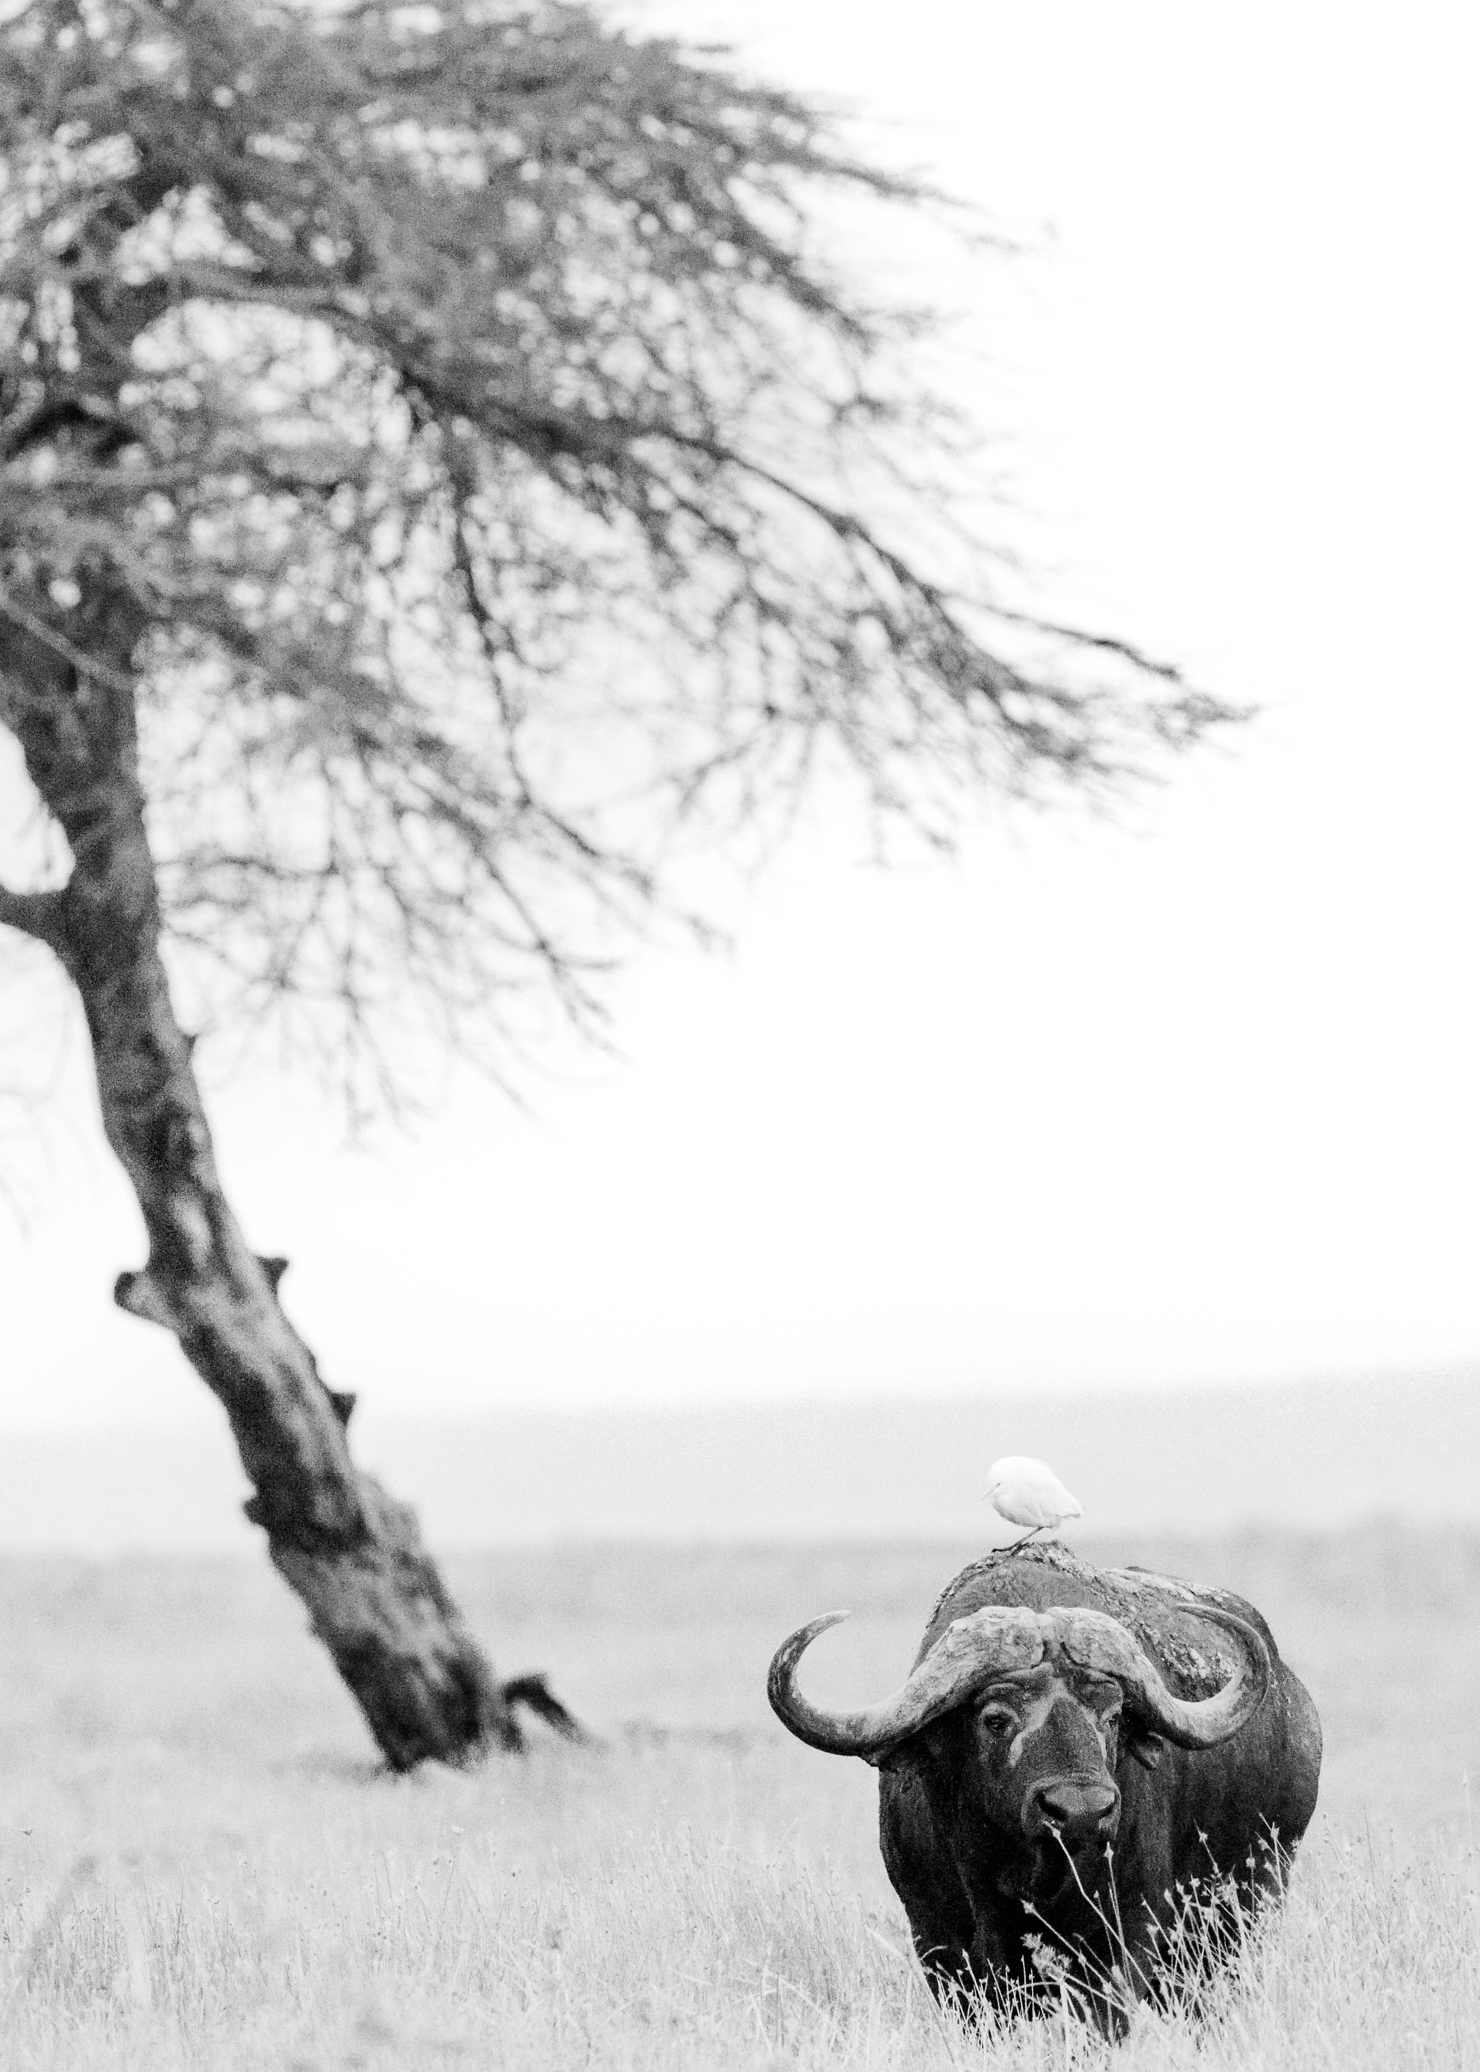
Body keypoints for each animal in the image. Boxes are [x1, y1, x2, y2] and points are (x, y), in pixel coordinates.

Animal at [768, 1542, 1321, 2033]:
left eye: (1113, 1716)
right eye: (994, 1719)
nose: (1081, 1812)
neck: (1016, 1878)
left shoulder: (1122, 1941)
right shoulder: (940, 1945)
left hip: (1246, 1906)